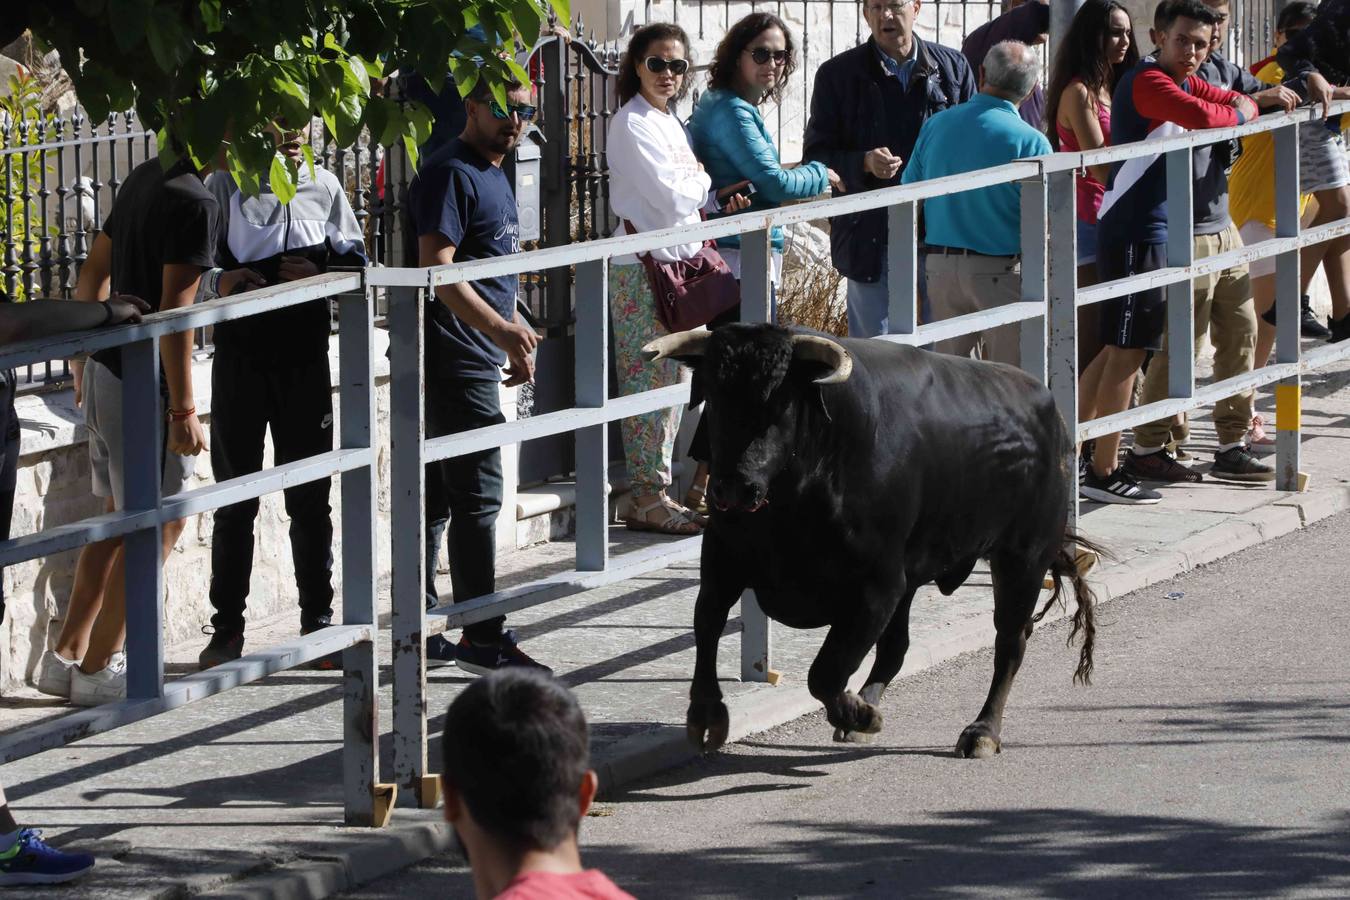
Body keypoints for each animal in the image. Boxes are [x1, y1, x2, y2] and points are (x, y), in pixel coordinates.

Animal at [642, 323, 1096, 761]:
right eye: (715, 398)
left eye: (780, 404)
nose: (734, 487)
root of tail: (1048, 408)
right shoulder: (722, 562)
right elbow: (707, 626)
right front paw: (706, 716)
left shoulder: (876, 587)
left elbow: (825, 671)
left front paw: (858, 714)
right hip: (922, 576)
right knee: (897, 647)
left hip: (1022, 558)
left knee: (1010, 642)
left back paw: (982, 732)